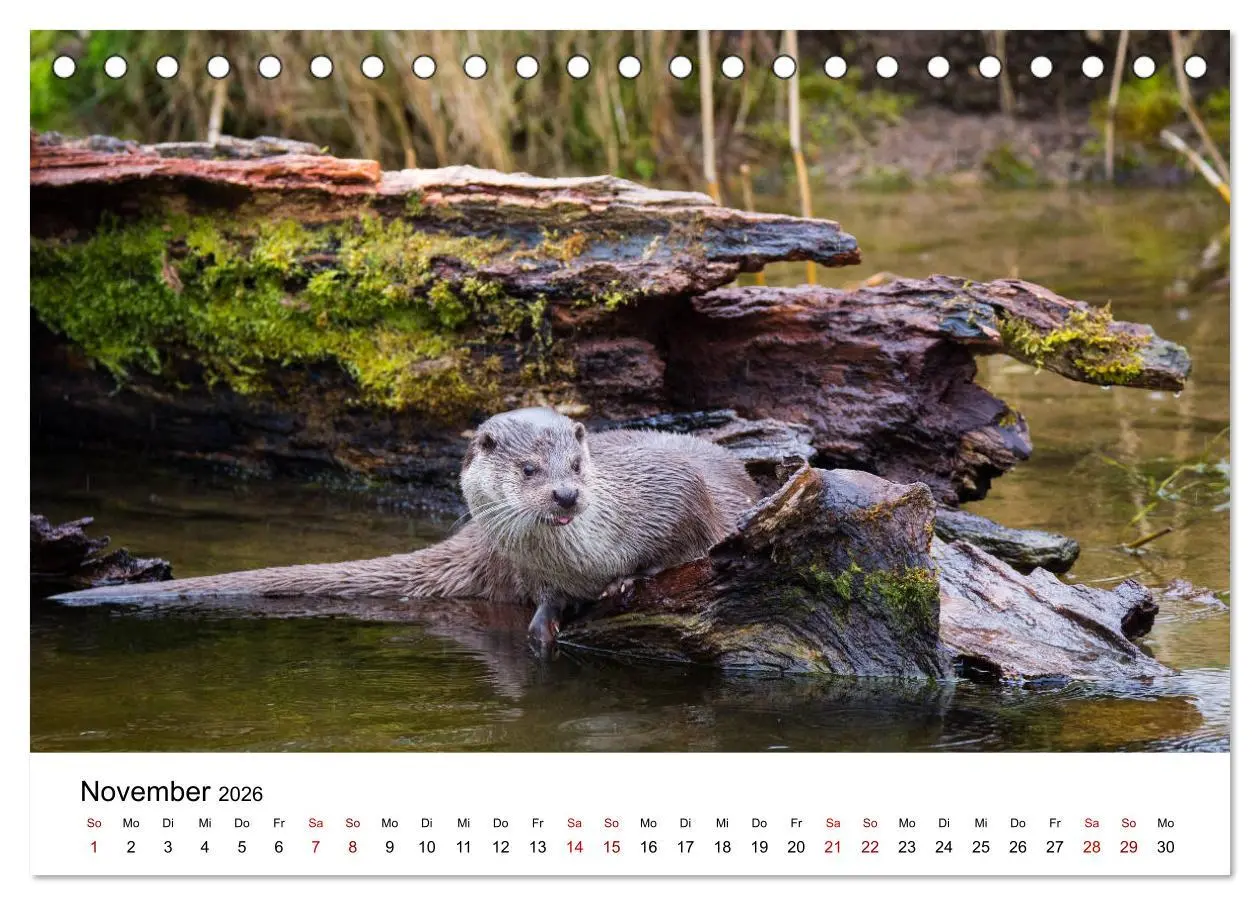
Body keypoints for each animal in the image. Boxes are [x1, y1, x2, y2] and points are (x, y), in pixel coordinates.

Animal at [51, 408, 759, 647]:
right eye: (529, 468)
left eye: (578, 464)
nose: (565, 493)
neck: (582, 557)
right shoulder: (536, 569)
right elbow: (543, 600)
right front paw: (545, 620)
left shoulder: (673, 489)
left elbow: (687, 538)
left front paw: (629, 581)